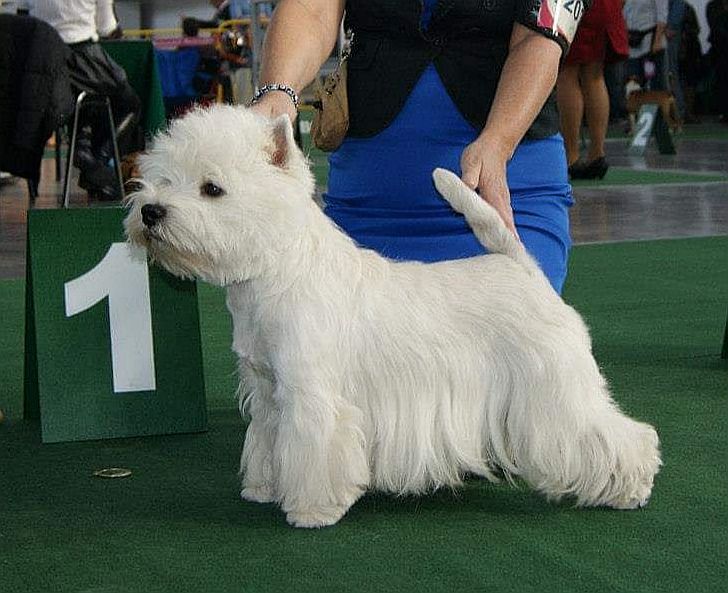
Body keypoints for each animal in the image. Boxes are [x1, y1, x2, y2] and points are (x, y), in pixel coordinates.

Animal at [123, 106, 660, 528]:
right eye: (163, 178)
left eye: (212, 188)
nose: (151, 212)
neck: (274, 272)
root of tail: (523, 268)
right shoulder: (270, 391)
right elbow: (269, 442)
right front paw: (263, 487)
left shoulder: (313, 395)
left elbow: (314, 450)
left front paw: (311, 510)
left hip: (552, 387)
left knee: (614, 433)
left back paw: (631, 489)